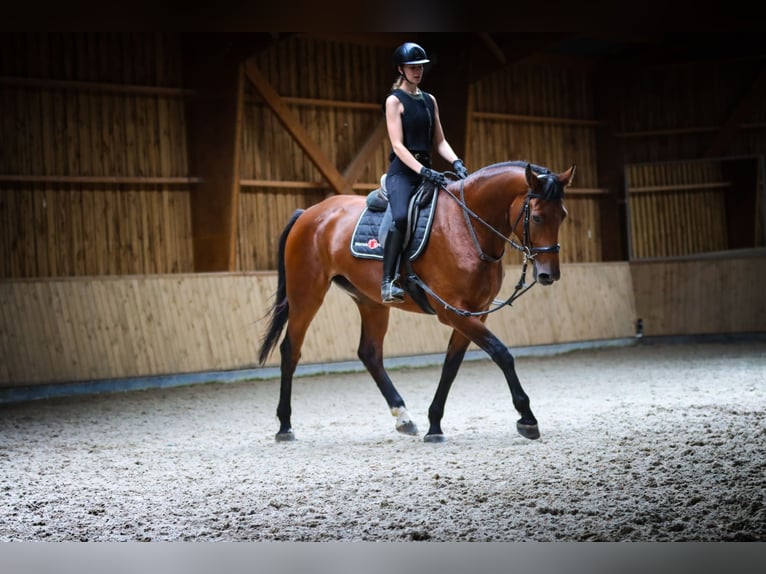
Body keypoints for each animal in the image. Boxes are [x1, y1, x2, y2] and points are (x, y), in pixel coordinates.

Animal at [258, 161, 576, 446]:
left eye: (562, 215)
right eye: (537, 217)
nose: (548, 274)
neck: (468, 226)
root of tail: (308, 213)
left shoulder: (474, 313)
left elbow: (451, 366)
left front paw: (434, 425)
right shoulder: (453, 312)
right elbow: (501, 353)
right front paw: (527, 418)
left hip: (371, 302)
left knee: (369, 353)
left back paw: (404, 418)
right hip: (306, 294)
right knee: (291, 350)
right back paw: (284, 426)